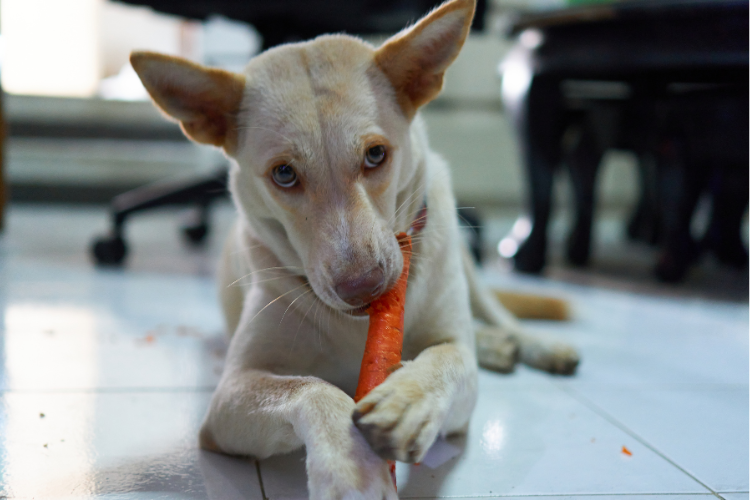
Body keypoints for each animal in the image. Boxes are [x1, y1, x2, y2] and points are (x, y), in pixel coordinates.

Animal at [131, 1, 580, 498]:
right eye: (284, 173)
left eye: (376, 154)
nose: (363, 287)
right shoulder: (228, 397)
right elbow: (311, 388)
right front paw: (350, 467)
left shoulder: (456, 367)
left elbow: (447, 357)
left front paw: (406, 400)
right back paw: (499, 348)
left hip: (464, 258)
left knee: (498, 314)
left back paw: (533, 345)